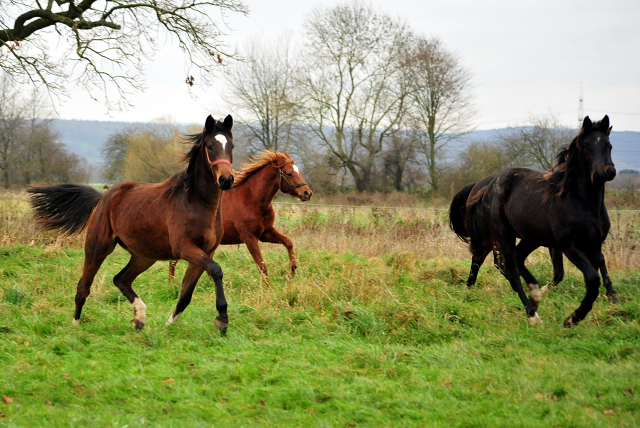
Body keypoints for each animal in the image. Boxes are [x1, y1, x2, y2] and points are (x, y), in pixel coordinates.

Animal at [29, 113, 235, 332]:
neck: (196, 202)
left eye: (231, 145)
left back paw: (139, 318)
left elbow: (186, 294)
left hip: (144, 255)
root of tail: (104, 197)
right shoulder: (184, 248)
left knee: (121, 279)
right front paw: (222, 319)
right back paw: (76, 324)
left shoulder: (204, 252)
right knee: (84, 286)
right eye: (210, 146)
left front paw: (168, 325)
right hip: (98, 247)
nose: (226, 180)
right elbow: (216, 270)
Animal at [169, 150, 312, 280]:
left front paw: (292, 271)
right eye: (289, 173)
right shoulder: (249, 238)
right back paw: (172, 283)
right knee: (173, 262)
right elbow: (262, 266)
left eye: (299, 172)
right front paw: (268, 288)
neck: (253, 200)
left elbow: (288, 242)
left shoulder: (266, 233)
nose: (307, 193)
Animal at [456, 115, 616, 326]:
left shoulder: (594, 245)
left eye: (608, 145)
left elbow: (598, 267)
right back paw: (533, 313)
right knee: (509, 269)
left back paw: (534, 291)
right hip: (503, 235)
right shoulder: (569, 246)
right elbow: (591, 278)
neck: (583, 203)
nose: (603, 174)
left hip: (530, 237)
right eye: (586, 146)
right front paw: (573, 317)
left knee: (514, 259)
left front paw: (611, 295)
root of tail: (488, 186)